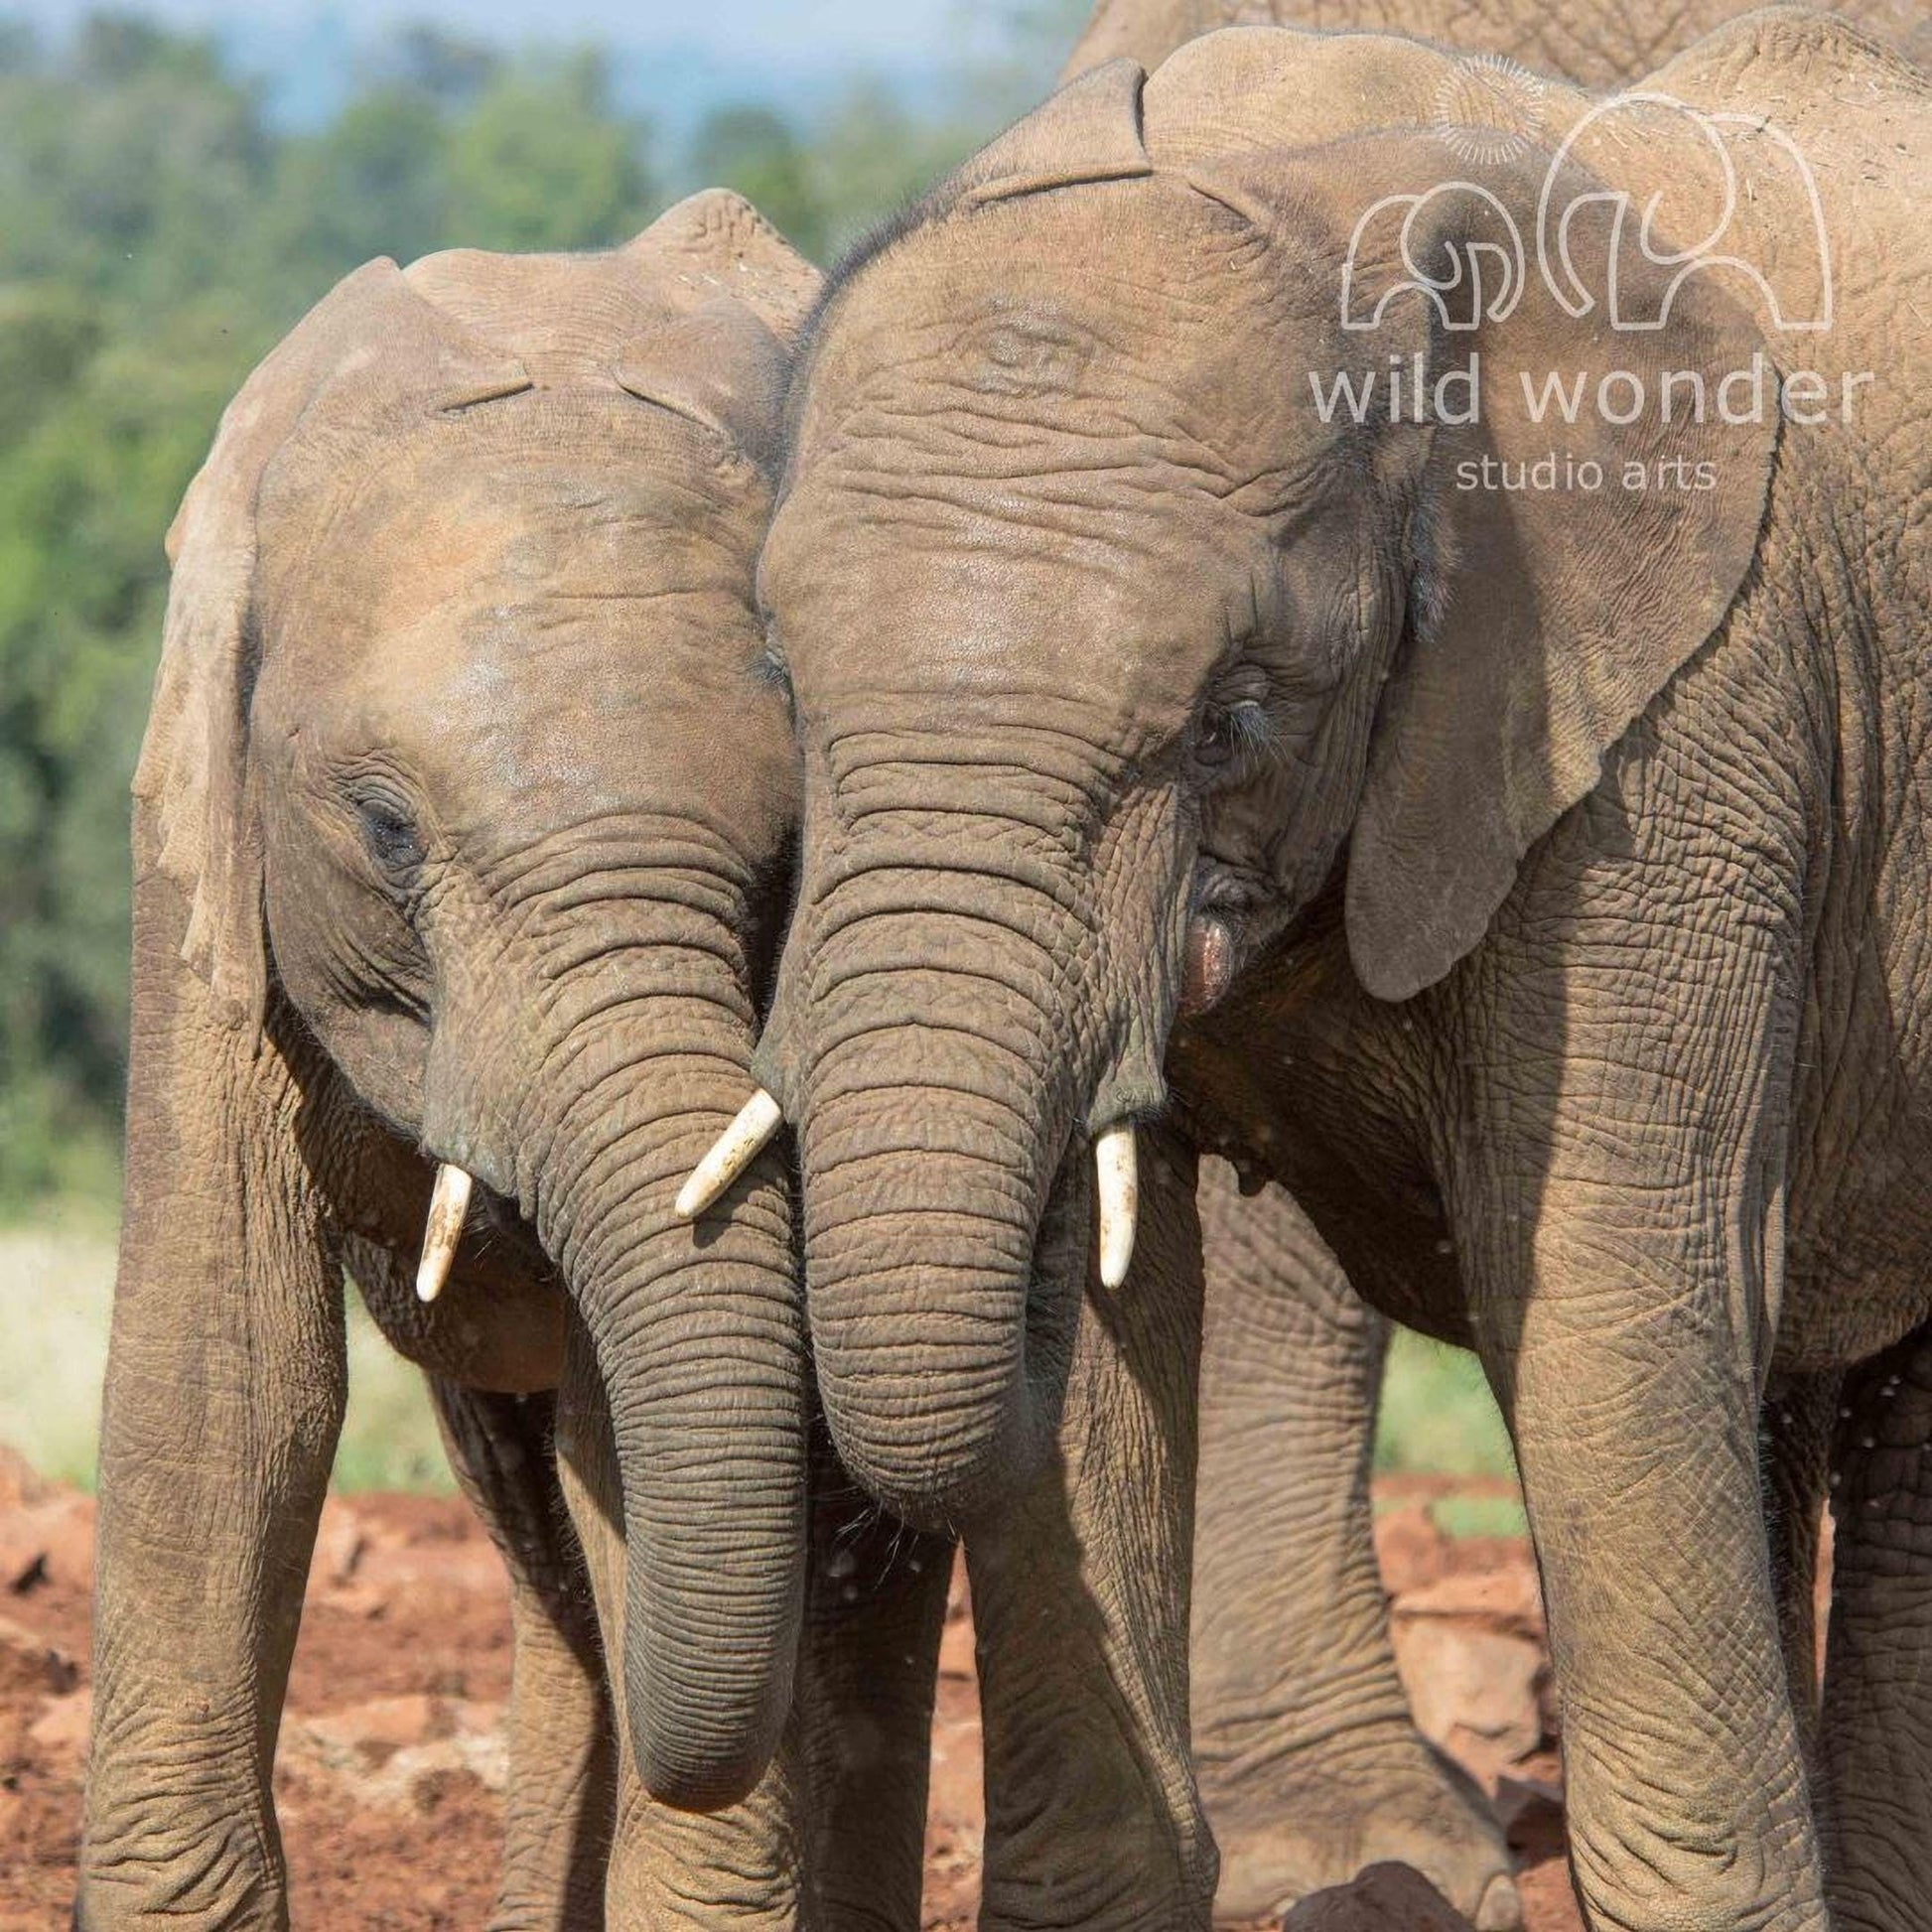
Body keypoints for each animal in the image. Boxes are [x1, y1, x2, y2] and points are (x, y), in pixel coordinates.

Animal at [79, 190, 970, 1928]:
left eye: (788, 852)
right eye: (384, 830)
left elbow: (647, 1423)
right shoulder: (202, 857)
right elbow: (227, 1382)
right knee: (542, 1537)